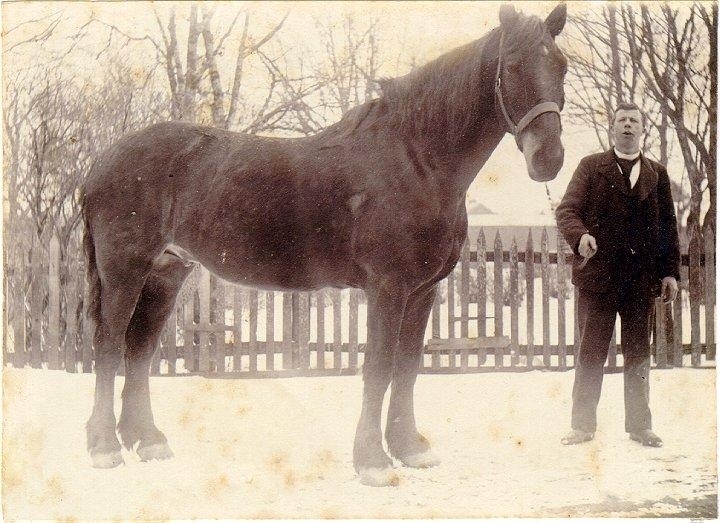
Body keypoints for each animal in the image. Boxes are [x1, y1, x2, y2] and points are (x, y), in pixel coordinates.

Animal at [82, 4, 567, 486]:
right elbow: (379, 367)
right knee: (108, 346)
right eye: (513, 65)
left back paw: (147, 441)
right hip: (124, 272)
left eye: (561, 65)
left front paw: (409, 449)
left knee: (139, 349)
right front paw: (372, 460)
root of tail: (103, 160)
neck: (416, 161)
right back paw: (105, 447)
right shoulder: (388, 288)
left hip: (167, 272)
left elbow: (408, 368)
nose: (549, 158)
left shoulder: (423, 291)